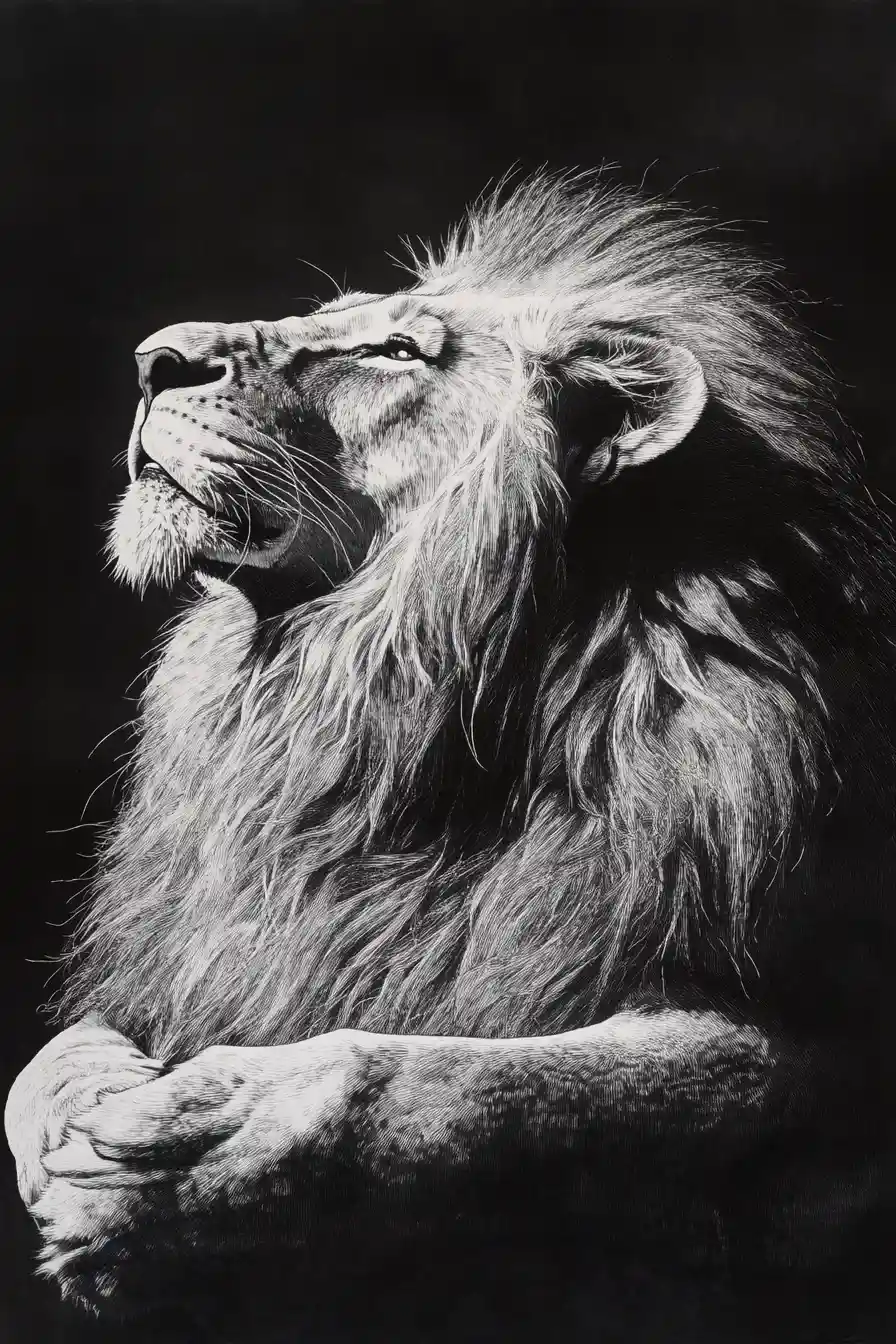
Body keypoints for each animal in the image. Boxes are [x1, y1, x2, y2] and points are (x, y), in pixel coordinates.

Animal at [6, 172, 896, 1342]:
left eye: (394, 351)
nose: (155, 360)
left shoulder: (792, 1049)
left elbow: (429, 1074)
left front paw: (207, 1150)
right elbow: (42, 1066)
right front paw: (75, 1129)